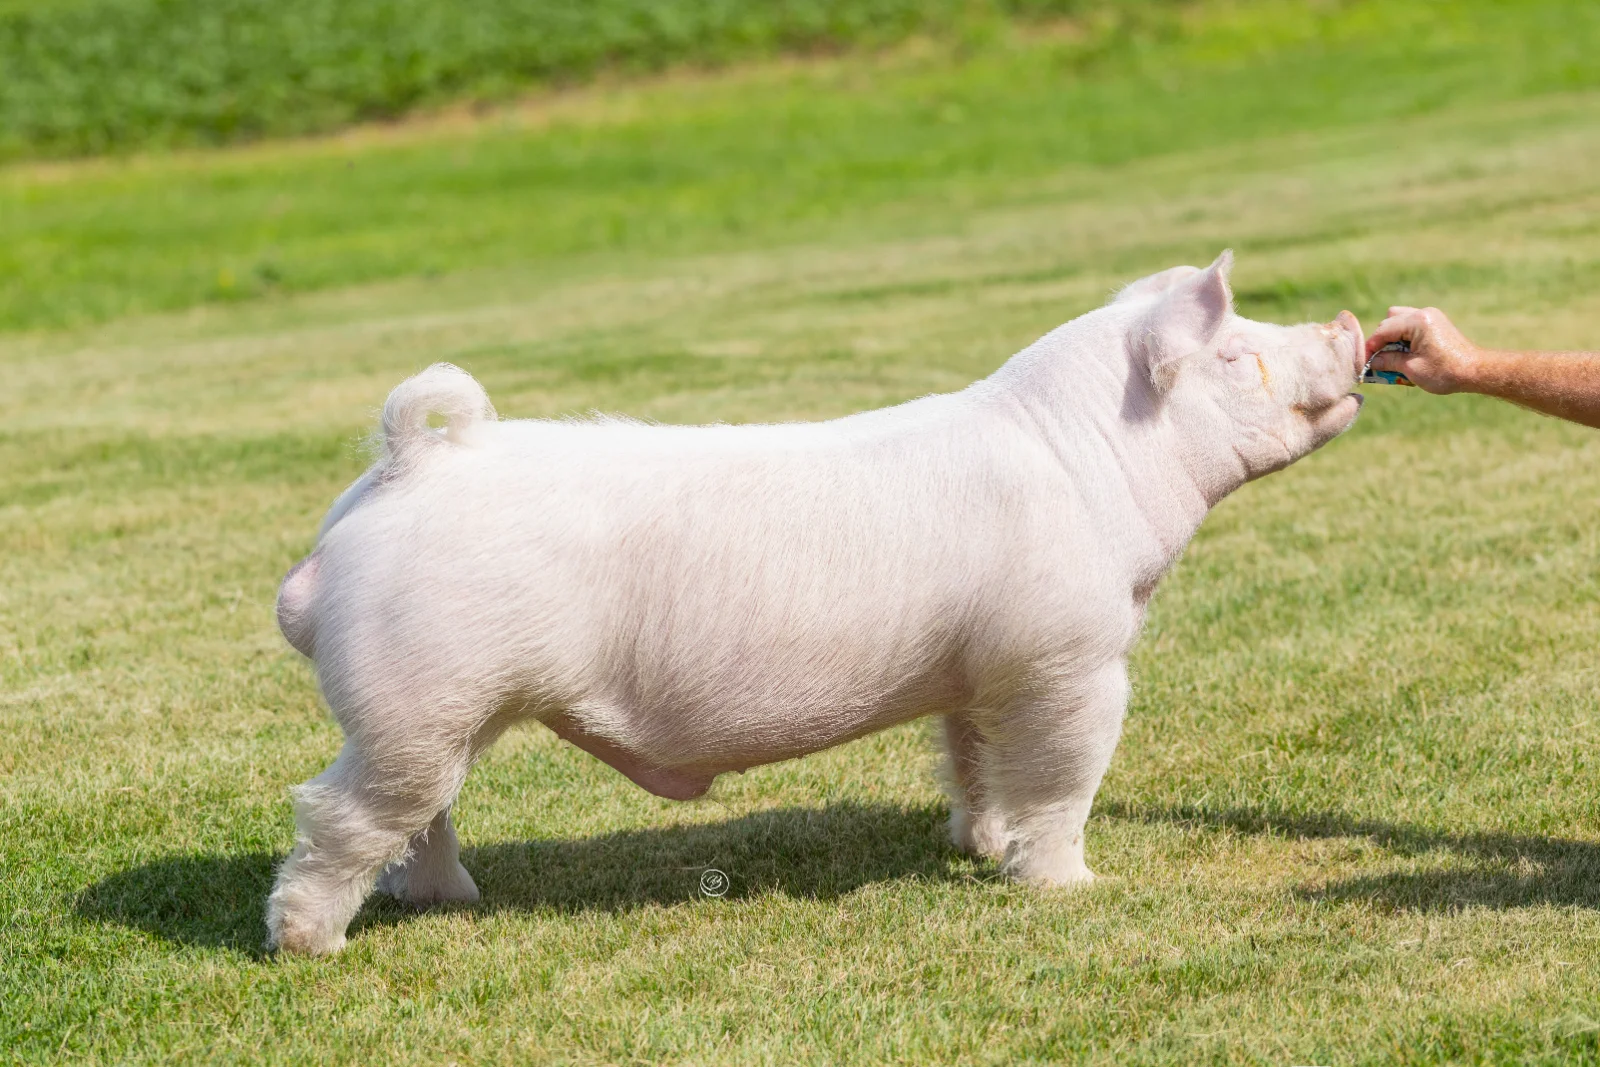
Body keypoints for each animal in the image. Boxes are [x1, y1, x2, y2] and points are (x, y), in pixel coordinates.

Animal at [266, 251, 1365, 954]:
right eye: (1237, 355)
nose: (1352, 324)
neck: (1087, 459)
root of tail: (407, 465)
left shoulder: (979, 669)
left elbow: (974, 762)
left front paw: (980, 847)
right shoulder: (1069, 655)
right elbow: (1064, 774)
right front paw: (1069, 886)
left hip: (437, 710)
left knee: (423, 814)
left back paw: (446, 900)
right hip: (416, 695)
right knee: (339, 808)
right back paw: (310, 944)